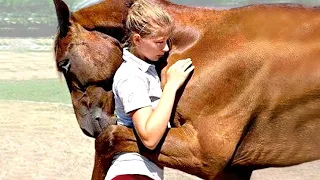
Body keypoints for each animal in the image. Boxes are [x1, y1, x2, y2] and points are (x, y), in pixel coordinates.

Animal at [53, 0, 320, 179]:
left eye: (64, 64)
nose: (87, 127)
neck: (201, 45)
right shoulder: (234, 167)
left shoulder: (203, 153)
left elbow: (108, 139)